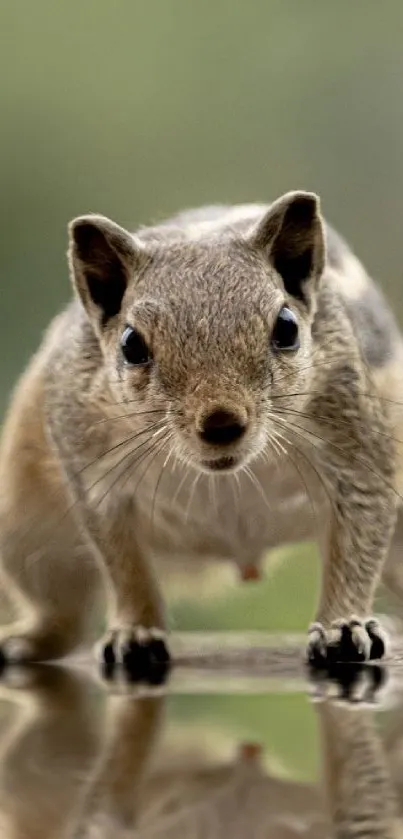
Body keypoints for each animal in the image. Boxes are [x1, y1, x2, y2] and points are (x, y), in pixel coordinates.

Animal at [0, 189, 403, 668]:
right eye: (131, 344)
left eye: (287, 327)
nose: (221, 422)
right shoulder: (94, 476)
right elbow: (124, 564)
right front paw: (136, 631)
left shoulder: (356, 449)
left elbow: (357, 541)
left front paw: (344, 626)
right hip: (28, 534)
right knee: (64, 615)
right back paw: (27, 641)